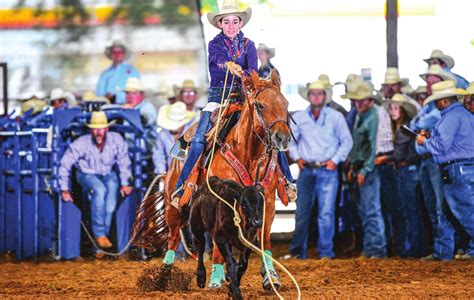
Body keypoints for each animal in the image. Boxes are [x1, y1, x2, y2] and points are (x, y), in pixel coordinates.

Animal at [131, 69, 290, 290]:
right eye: (260, 105)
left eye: (285, 103)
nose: (282, 138)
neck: (247, 153)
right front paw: (215, 278)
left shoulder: (266, 201)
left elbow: (264, 239)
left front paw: (271, 277)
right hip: (174, 206)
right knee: (173, 238)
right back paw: (164, 275)